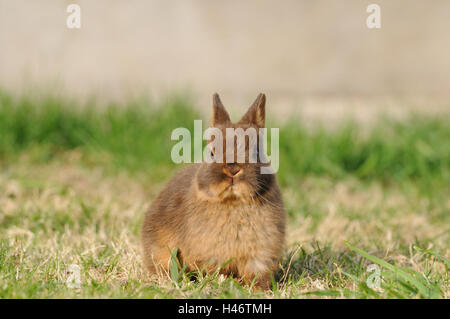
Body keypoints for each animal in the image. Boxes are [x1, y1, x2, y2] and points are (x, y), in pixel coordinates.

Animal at [142, 92, 286, 290]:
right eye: (211, 153)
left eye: (257, 152)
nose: (232, 169)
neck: (233, 203)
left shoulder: (260, 256)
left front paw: (258, 289)